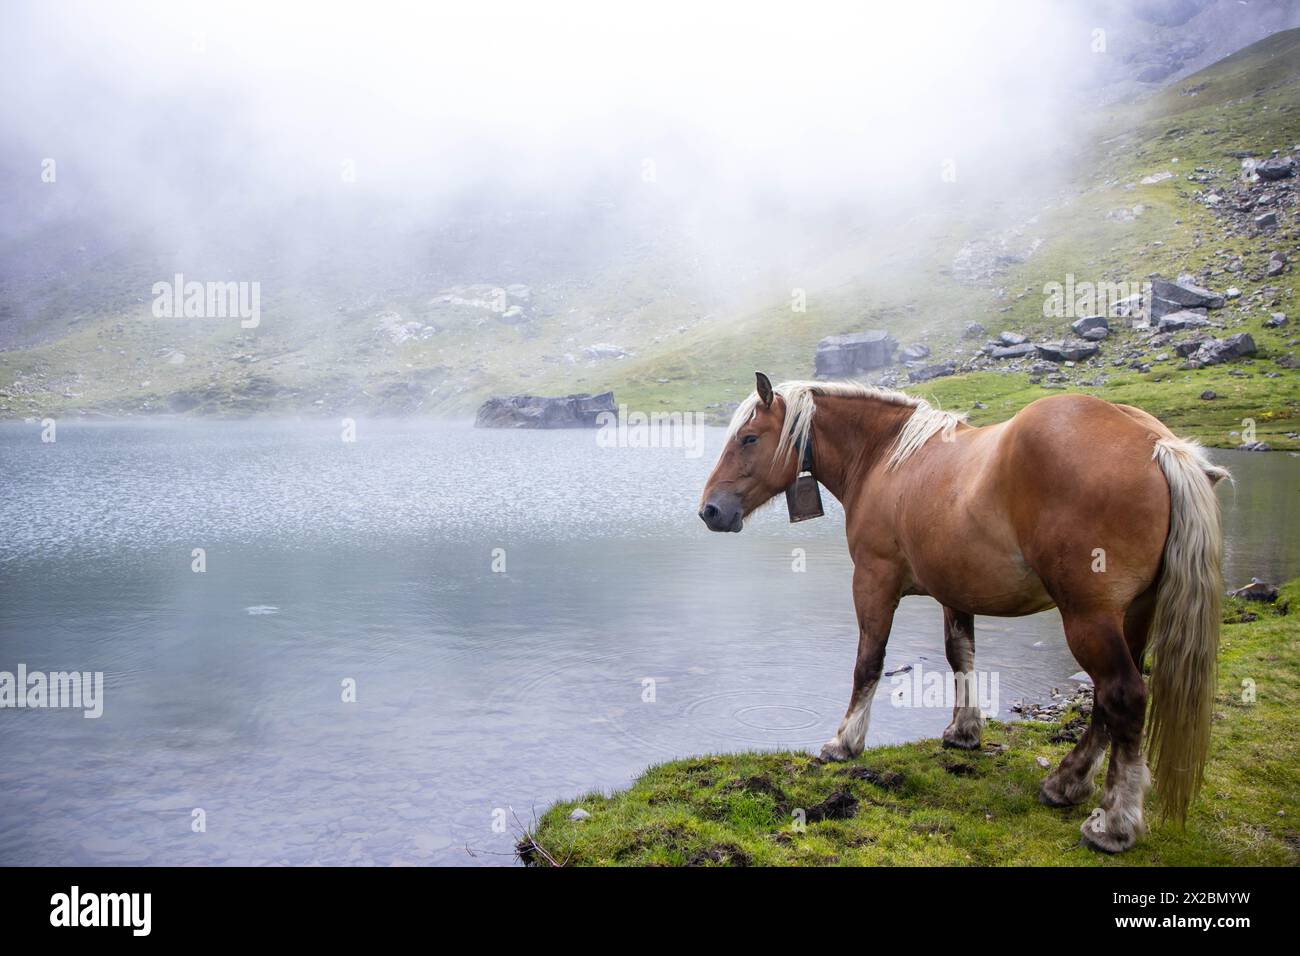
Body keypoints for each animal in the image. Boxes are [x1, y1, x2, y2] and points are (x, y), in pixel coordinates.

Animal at [696, 374, 1222, 853]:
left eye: (749, 438)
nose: (710, 511)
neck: (886, 458)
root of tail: (1156, 445)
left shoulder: (874, 581)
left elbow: (869, 663)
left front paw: (844, 743)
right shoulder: (955, 591)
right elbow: (960, 655)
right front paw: (964, 732)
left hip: (1088, 617)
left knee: (1124, 696)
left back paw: (1113, 823)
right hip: (1131, 615)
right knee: (1106, 702)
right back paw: (1067, 782)